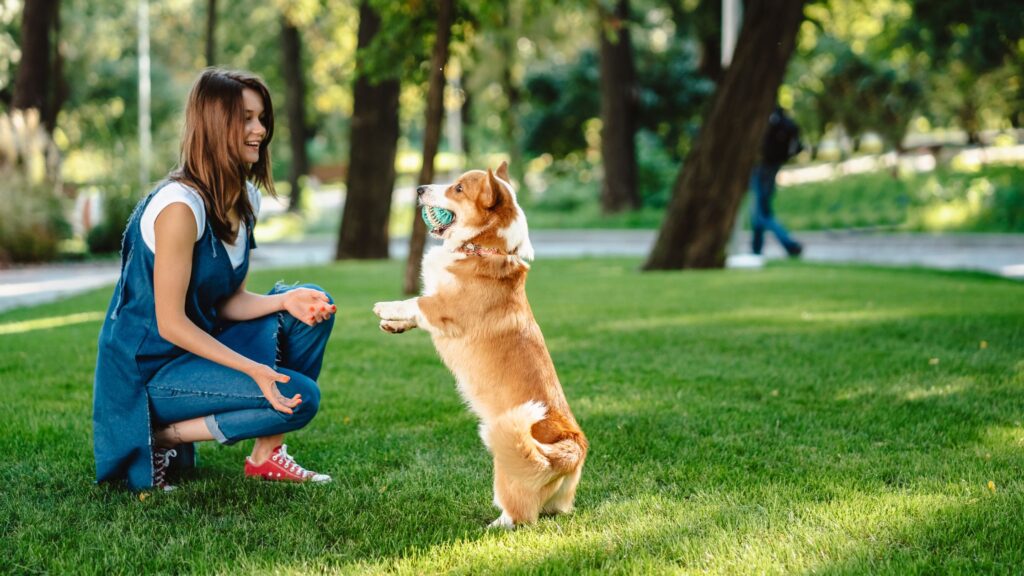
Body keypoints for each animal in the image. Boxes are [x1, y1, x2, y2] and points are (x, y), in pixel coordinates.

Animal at [372, 161, 589, 528]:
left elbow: (415, 302)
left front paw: (385, 308)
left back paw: (491, 526)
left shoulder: (443, 308)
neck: (485, 247)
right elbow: (413, 313)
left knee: (519, 515)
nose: (419, 189)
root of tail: (573, 448)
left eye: (458, 188)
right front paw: (393, 325)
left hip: (509, 463)